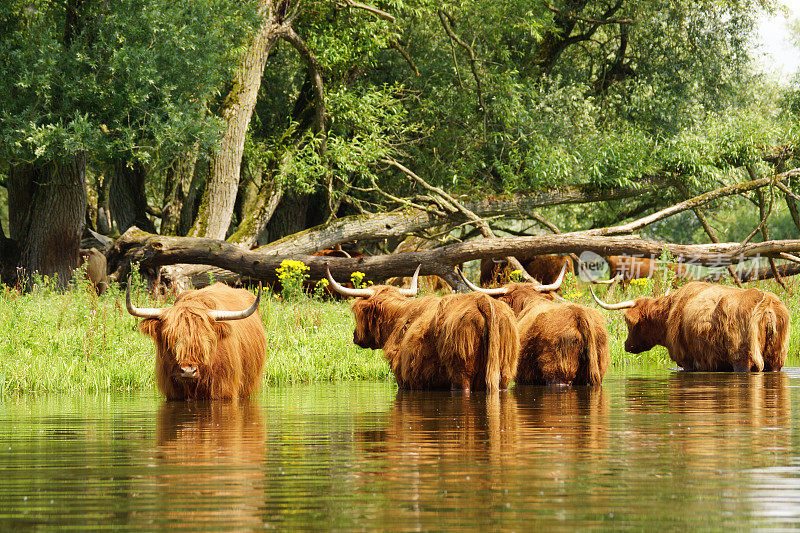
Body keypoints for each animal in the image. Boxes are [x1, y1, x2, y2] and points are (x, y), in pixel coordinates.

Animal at [326, 266, 520, 390]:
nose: (354, 336)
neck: (398, 317)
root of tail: (483, 300)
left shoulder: (404, 380)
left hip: (462, 373)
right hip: (504, 374)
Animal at [592, 282, 792, 370]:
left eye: (629, 323)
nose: (626, 345)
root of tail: (768, 305)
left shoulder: (686, 359)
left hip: (744, 359)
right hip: (776, 358)